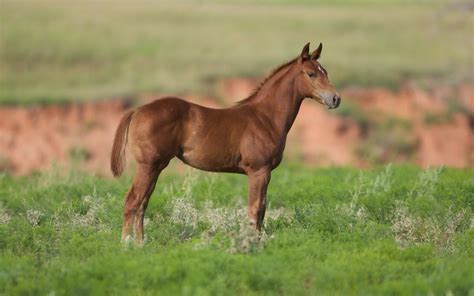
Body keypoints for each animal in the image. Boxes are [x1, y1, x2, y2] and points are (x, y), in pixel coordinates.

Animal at [111, 42, 340, 245]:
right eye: (311, 74)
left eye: (326, 72)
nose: (335, 99)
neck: (264, 118)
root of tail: (137, 110)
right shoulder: (259, 171)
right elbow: (256, 209)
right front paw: (253, 244)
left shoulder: (264, 173)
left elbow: (262, 210)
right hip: (148, 165)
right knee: (132, 201)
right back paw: (126, 244)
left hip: (156, 167)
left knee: (142, 203)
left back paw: (141, 244)